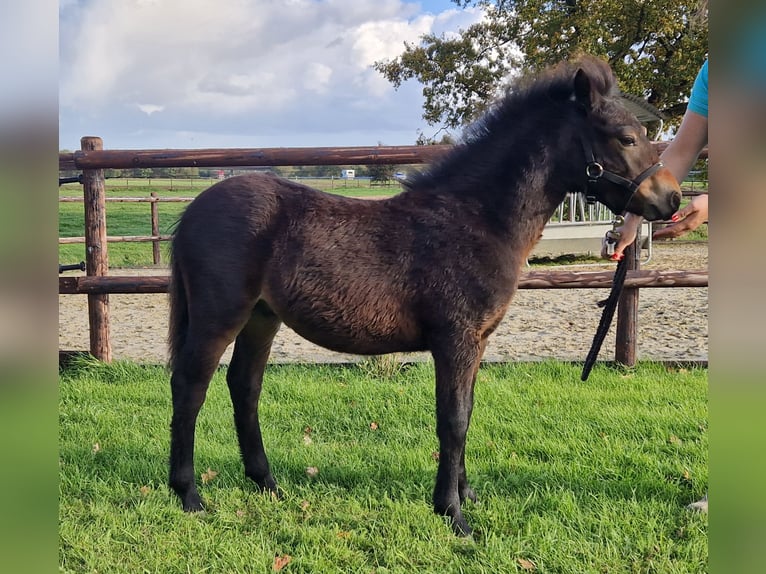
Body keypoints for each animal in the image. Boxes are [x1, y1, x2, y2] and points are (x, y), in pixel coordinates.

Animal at [166, 55, 681, 536]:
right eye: (625, 138)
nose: (672, 199)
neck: (477, 219)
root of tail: (192, 212)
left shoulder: (477, 342)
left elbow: (467, 412)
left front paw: (465, 495)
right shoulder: (455, 340)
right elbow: (452, 419)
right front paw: (452, 514)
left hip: (262, 316)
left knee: (244, 385)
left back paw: (268, 484)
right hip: (220, 314)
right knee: (191, 386)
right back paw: (189, 495)